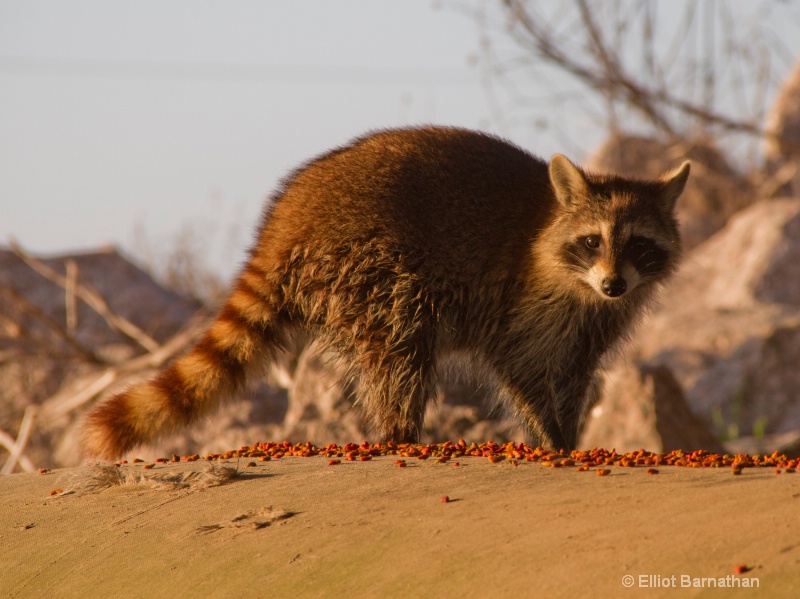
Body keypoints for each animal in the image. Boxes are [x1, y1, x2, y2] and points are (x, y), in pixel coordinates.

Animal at [83, 127, 688, 460]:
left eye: (639, 245)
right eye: (592, 241)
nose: (614, 283)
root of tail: (284, 221)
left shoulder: (594, 321)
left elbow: (573, 372)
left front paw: (569, 431)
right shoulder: (523, 301)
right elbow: (519, 369)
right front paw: (551, 436)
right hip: (369, 262)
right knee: (401, 345)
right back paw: (402, 434)